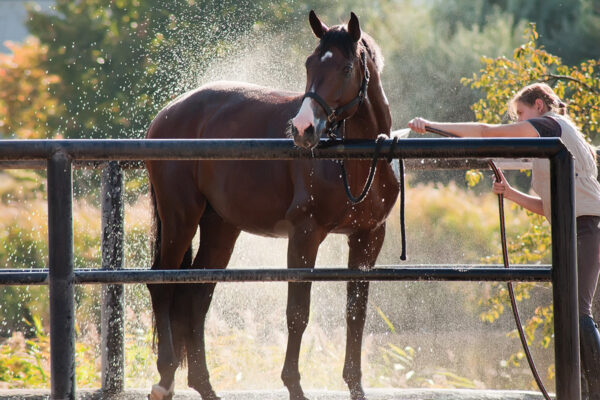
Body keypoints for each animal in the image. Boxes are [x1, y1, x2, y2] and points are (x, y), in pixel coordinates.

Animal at [145, 9, 398, 400]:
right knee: (162, 284)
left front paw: (355, 386)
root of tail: (168, 113)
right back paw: (165, 378)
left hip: (220, 228)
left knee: (196, 295)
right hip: (180, 219)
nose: (303, 129)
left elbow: (355, 313)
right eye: (309, 62)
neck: (353, 161)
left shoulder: (368, 237)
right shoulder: (305, 235)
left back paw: (203, 385)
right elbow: (298, 312)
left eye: (345, 68)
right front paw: (294, 385)